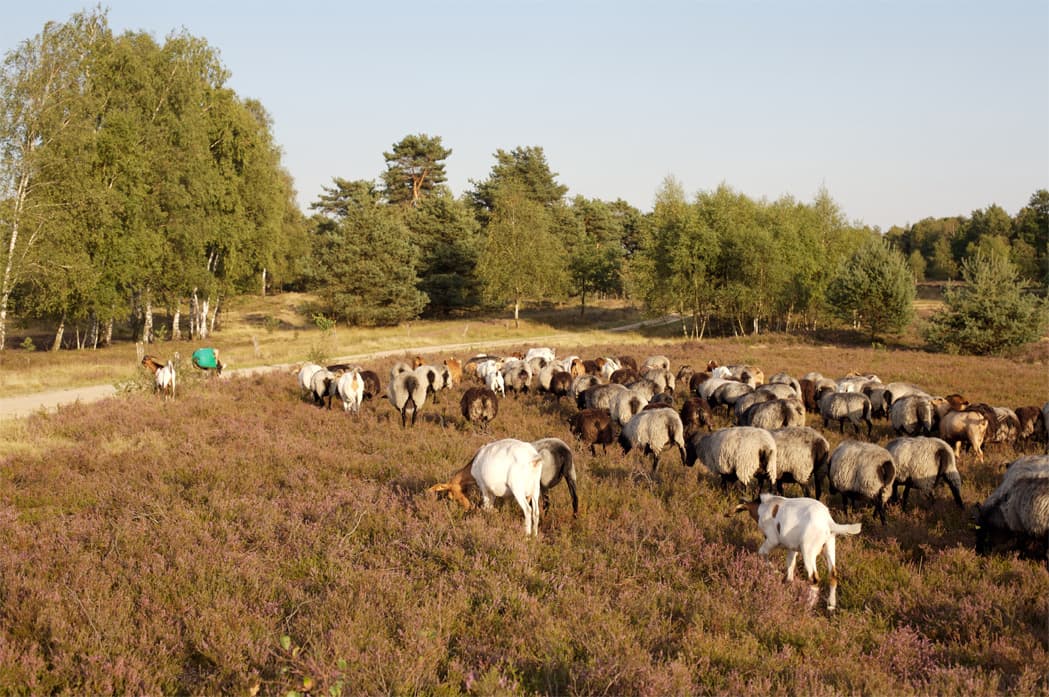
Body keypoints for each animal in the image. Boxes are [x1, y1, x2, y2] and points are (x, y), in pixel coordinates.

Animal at [734, 489, 864, 608]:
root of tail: (828, 522)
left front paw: (774, 571)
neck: (765, 506)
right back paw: (831, 605)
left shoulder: (772, 539)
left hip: (808, 551)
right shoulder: (792, 548)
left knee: (814, 578)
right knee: (833, 575)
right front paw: (788, 584)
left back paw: (809, 605)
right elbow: (790, 565)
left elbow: (762, 553)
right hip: (830, 546)